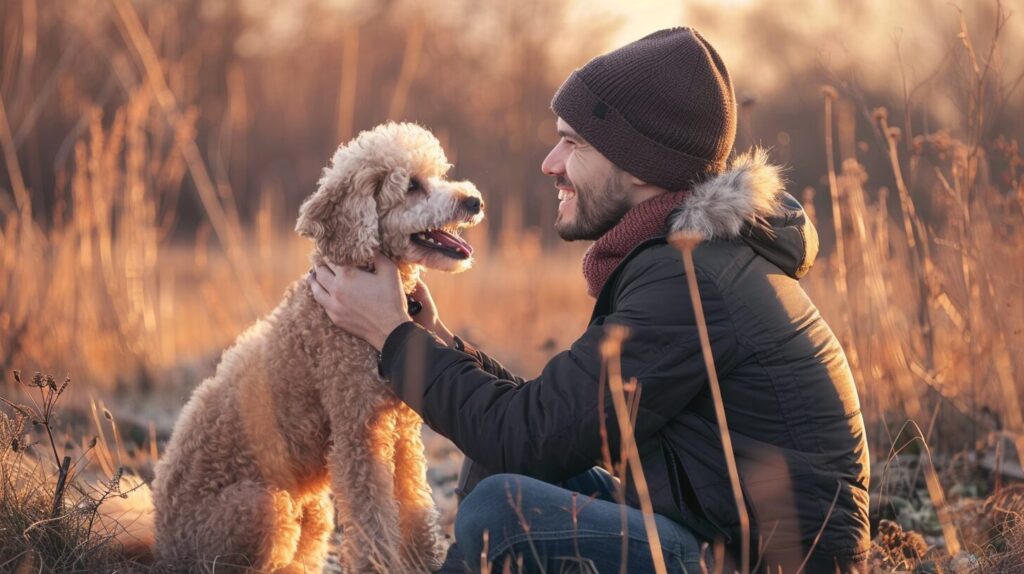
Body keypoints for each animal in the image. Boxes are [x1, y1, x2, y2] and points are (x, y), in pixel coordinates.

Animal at [147, 123, 483, 568]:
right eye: (412, 185)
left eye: (441, 174)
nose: (474, 201)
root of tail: (161, 538)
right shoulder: (359, 432)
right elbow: (374, 517)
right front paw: (381, 565)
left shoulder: (402, 431)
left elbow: (413, 501)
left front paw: (422, 561)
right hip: (263, 507)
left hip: (314, 508)